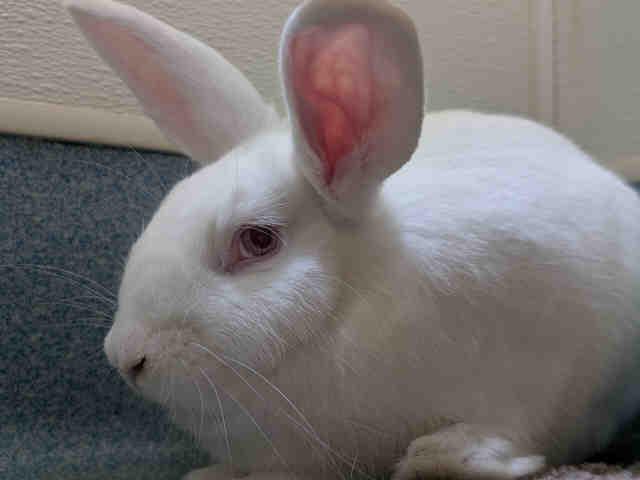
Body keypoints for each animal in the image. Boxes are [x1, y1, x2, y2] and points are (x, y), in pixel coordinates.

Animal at [65, 0, 640, 479]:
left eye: (256, 241)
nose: (126, 356)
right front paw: (211, 475)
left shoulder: (540, 373)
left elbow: (514, 428)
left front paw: (443, 456)